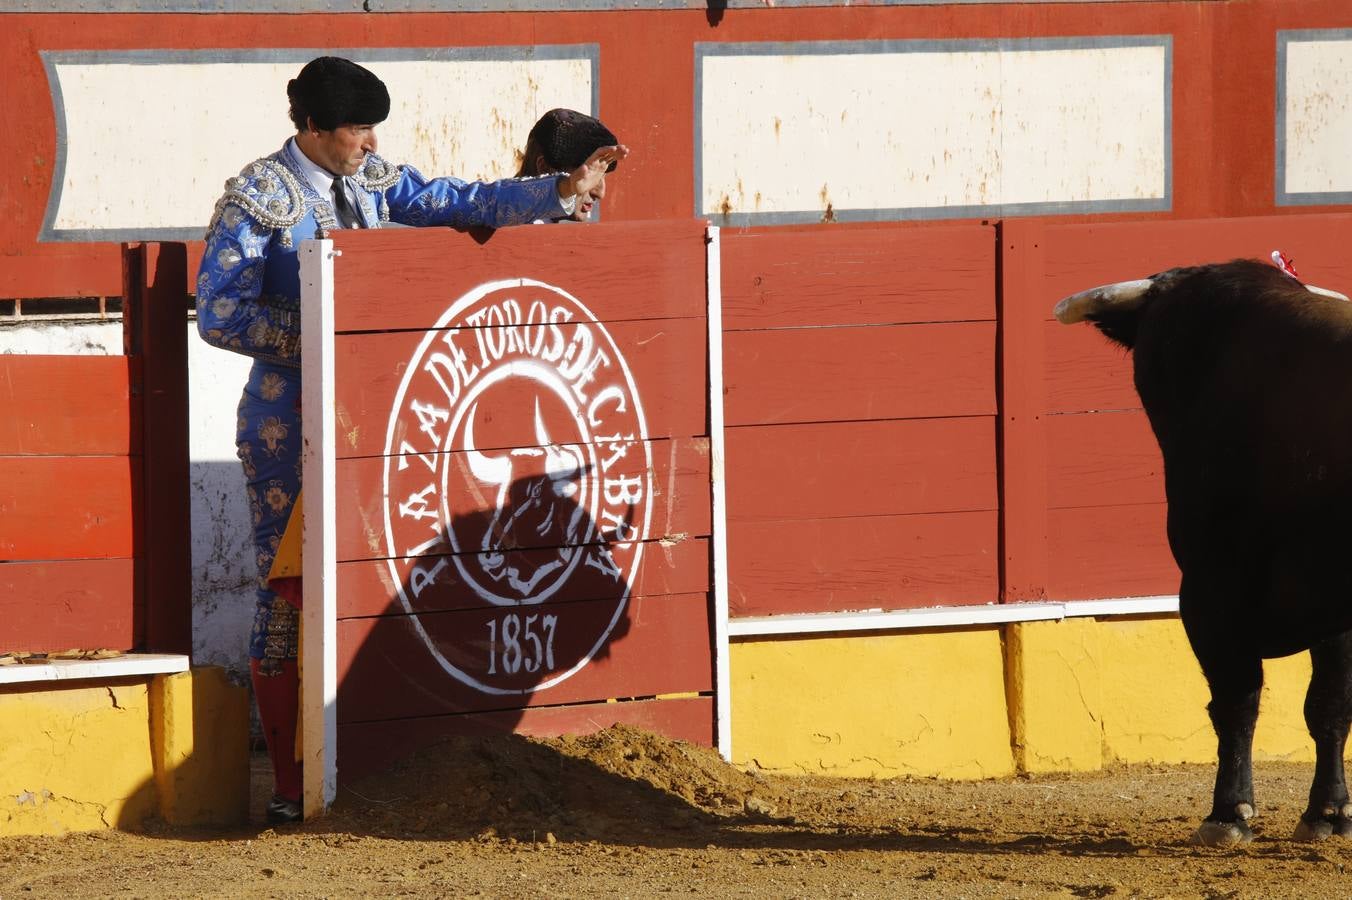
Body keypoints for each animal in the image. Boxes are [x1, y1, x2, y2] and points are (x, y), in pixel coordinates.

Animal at [1054, 258, 1352, 843]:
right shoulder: (1326, 605)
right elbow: (1327, 703)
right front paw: (1327, 814)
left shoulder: (1208, 589)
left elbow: (1240, 700)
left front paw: (1227, 813)